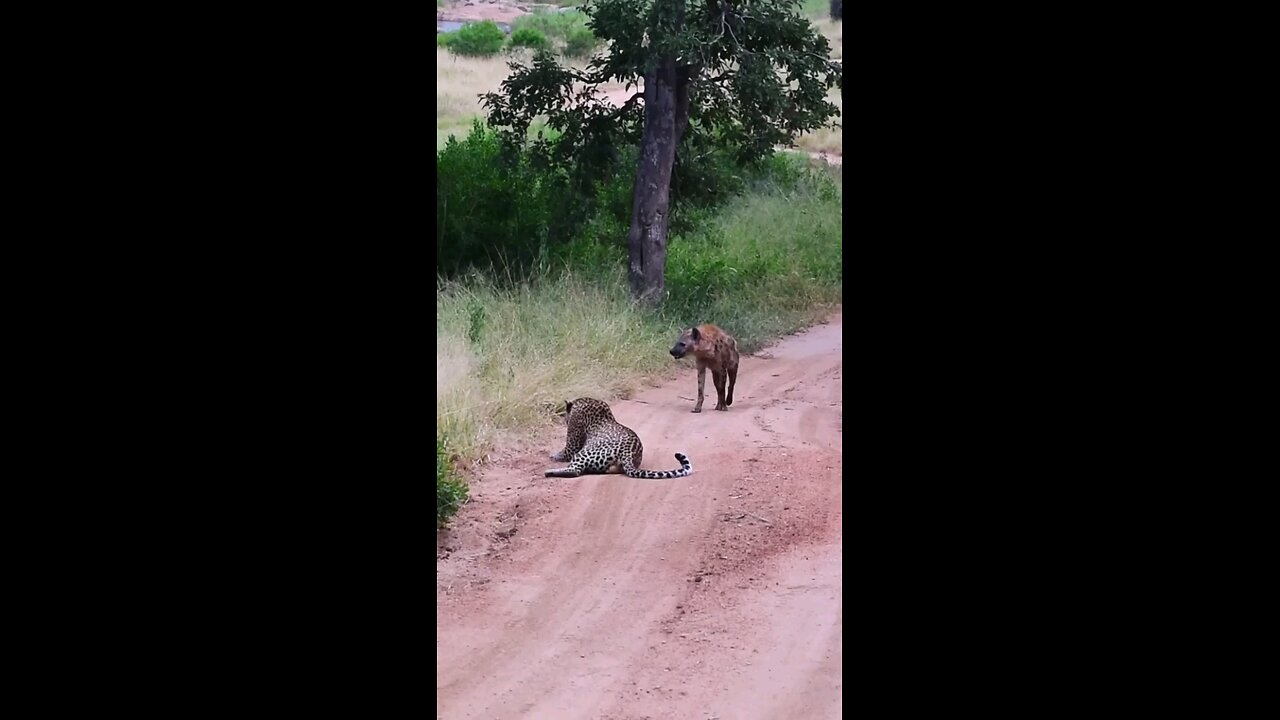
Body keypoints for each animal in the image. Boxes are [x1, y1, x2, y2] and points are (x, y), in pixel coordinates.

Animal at [545, 394, 696, 479]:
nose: (565, 420)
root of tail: (628, 453)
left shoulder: (572, 446)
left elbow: (563, 453)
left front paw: (551, 456)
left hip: (583, 454)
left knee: (575, 471)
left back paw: (549, 472)